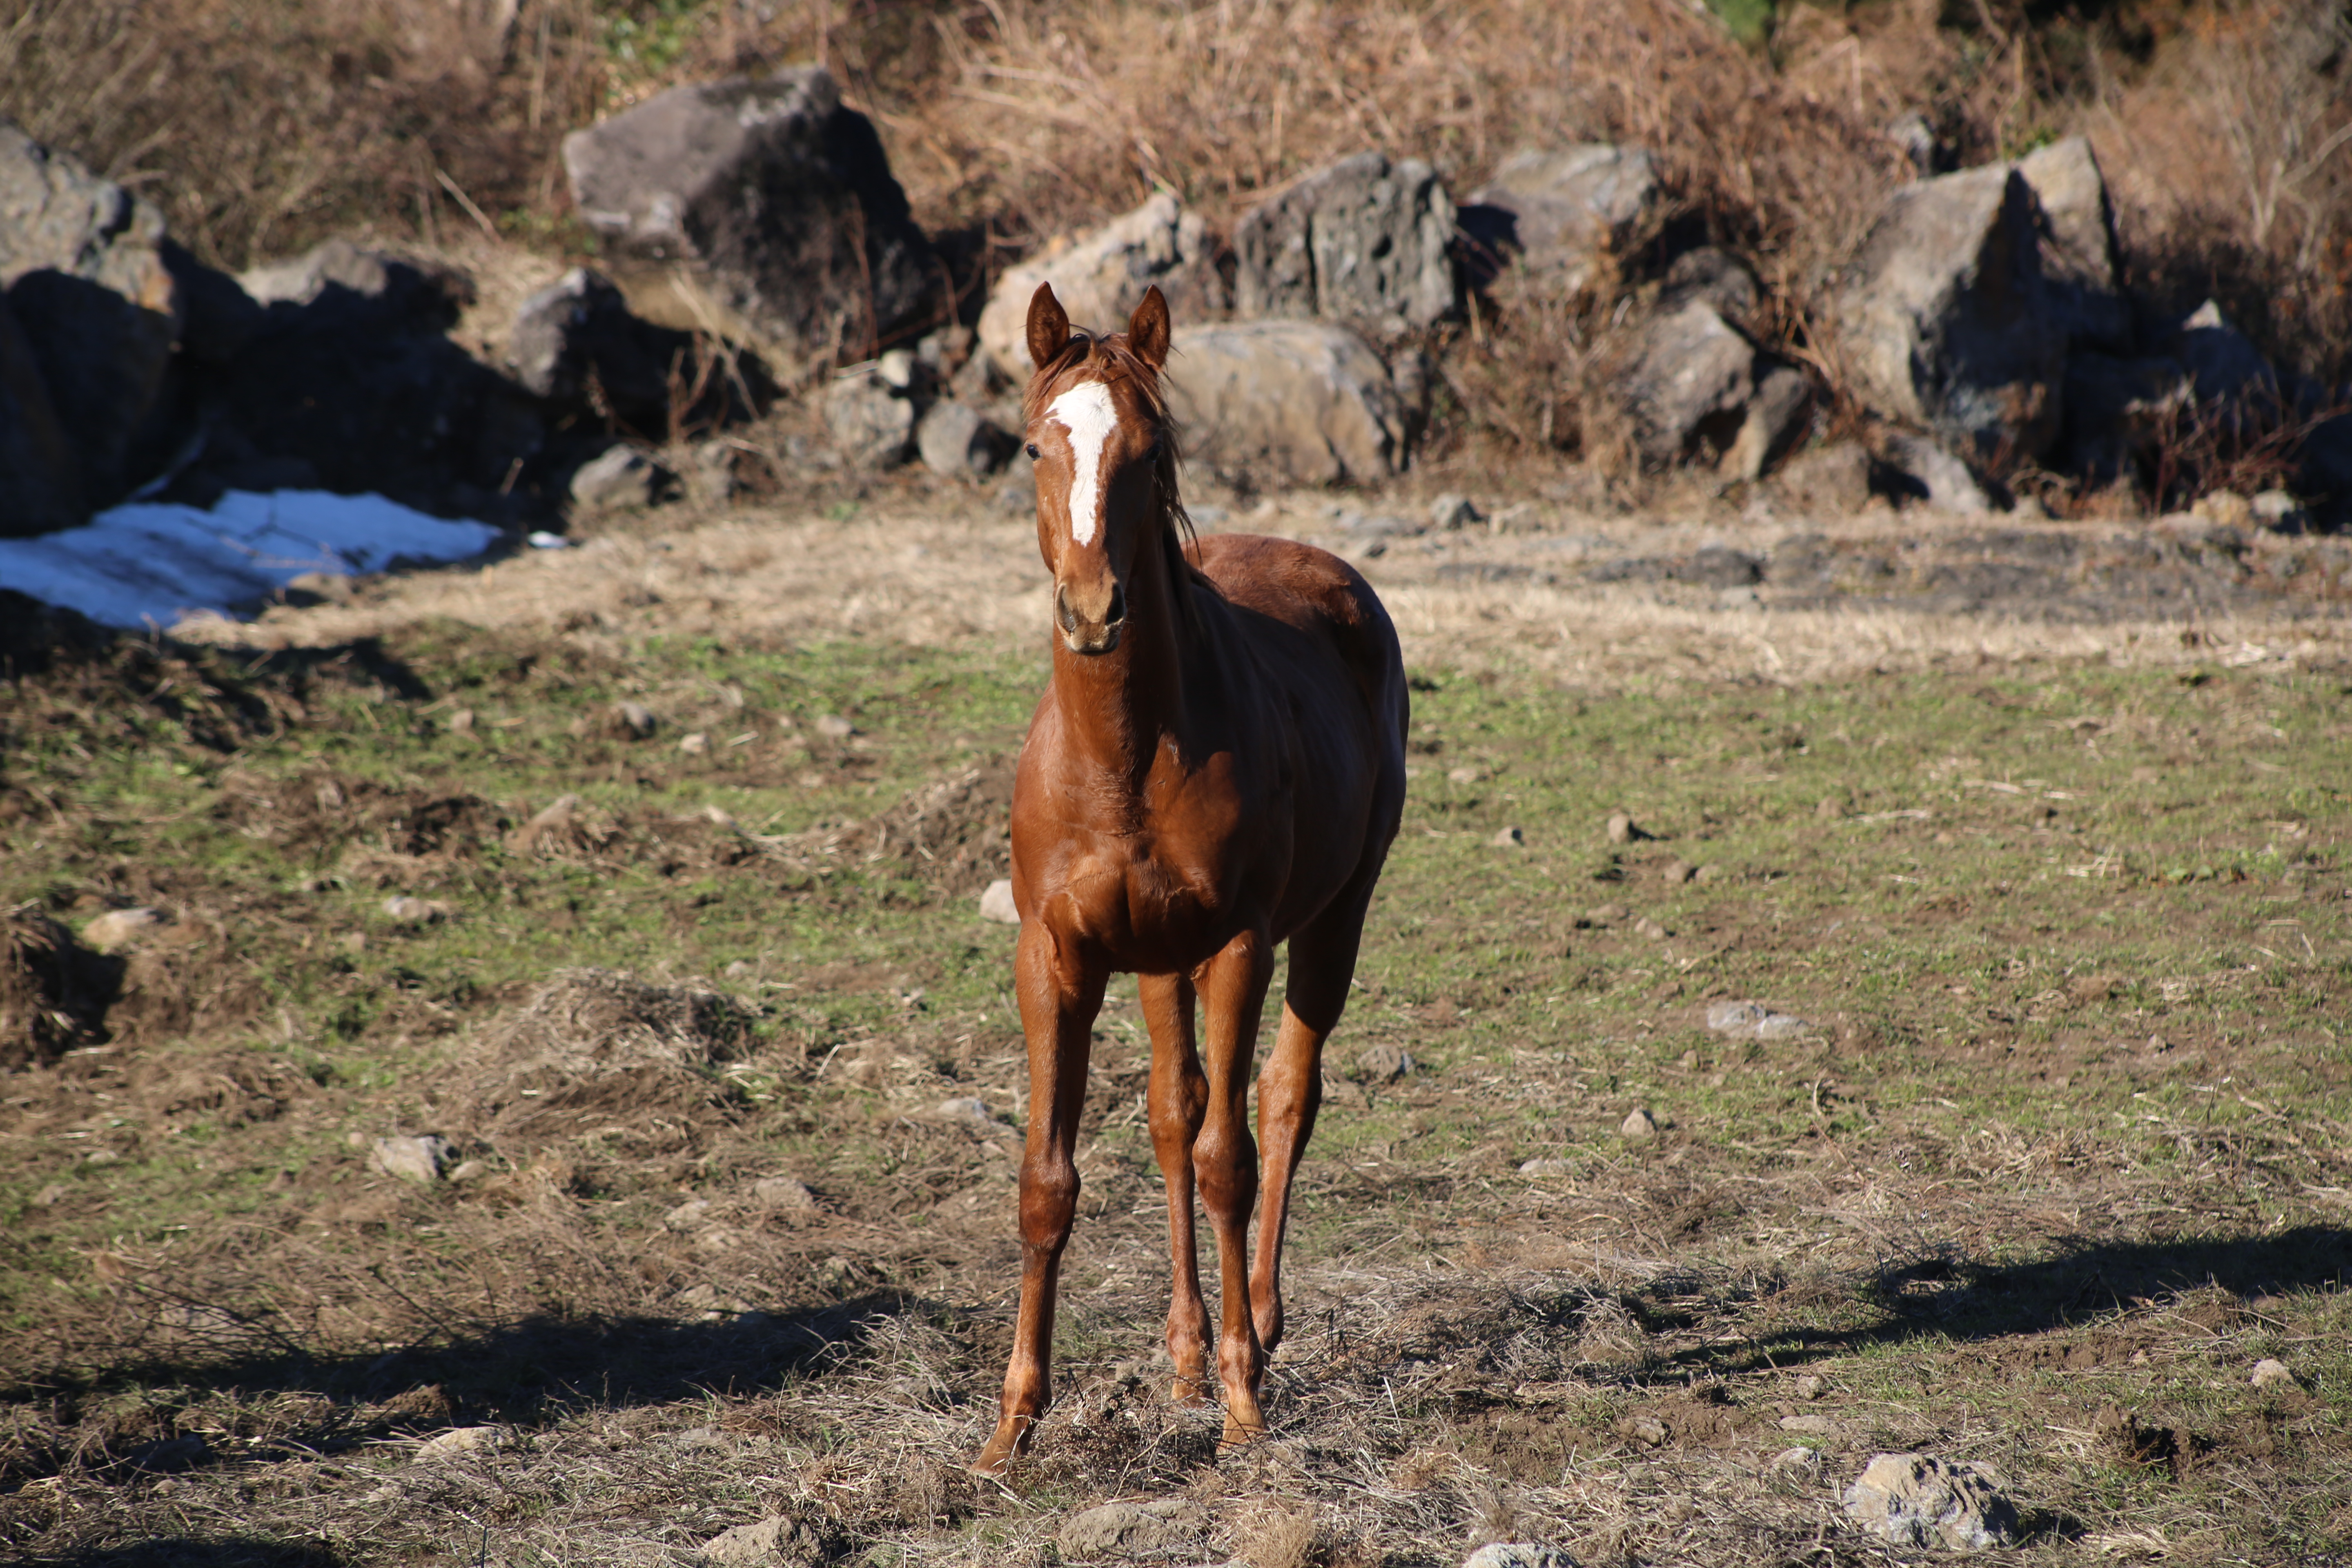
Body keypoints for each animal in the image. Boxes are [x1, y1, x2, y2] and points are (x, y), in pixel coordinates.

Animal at [969, 282, 1392, 1476]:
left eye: (1150, 451)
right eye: (1034, 445)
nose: (1092, 609)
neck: (1124, 755)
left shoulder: (1239, 944)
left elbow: (1228, 1161)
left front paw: (1246, 1407)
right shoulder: (1054, 958)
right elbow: (1051, 1180)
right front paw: (1009, 1429)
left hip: (1333, 920)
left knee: (1283, 1099)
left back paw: (1258, 1332)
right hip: (1156, 962)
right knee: (1172, 1110)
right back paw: (1188, 1356)